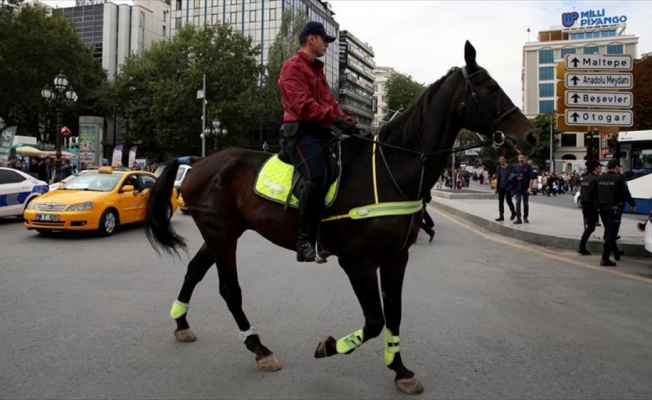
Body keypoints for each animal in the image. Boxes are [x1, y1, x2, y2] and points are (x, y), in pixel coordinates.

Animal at [143, 41, 536, 394]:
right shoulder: (357, 261)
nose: (530, 135)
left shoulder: (396, 258)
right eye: (491, 87)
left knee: (194, 270)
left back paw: (182, 322)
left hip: (224, 233)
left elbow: (394, 314)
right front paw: (332, 346)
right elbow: (375, 320)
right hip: (221, 233)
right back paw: (259, 348)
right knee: (229, 289)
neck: (392, 167)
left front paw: (400, 369)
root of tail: (197, 161)